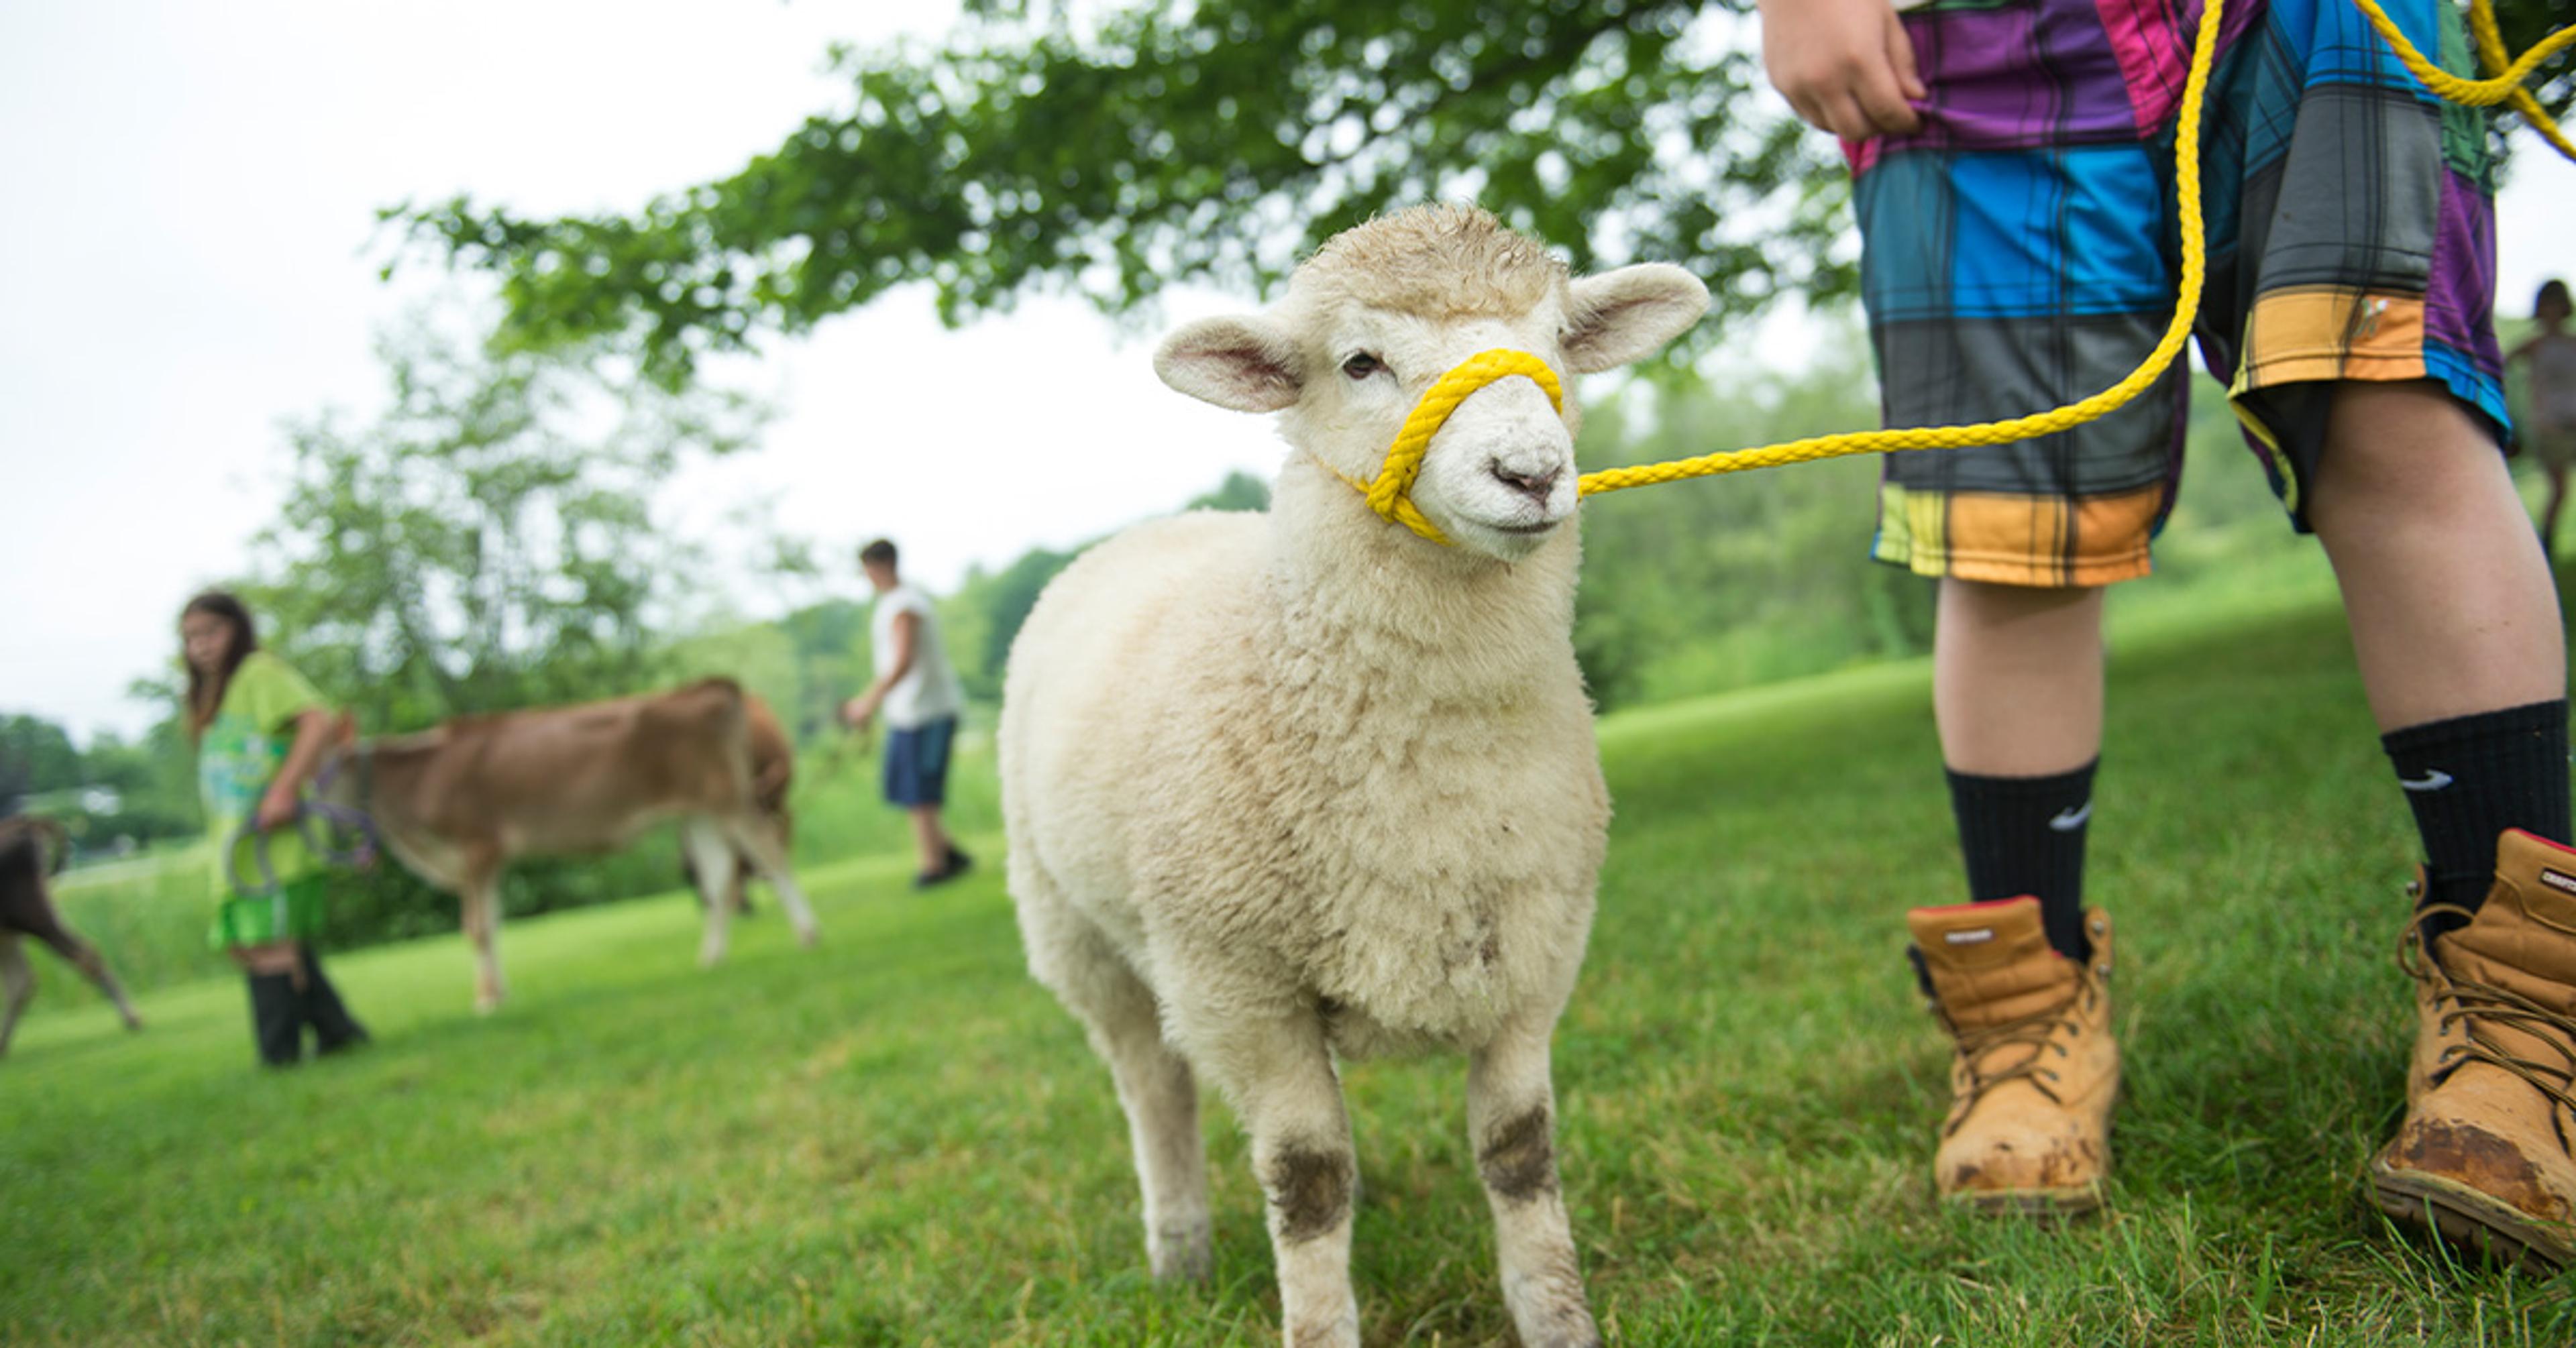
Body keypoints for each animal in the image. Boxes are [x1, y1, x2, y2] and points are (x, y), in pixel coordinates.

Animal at [0, 815, 143, 1057]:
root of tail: (28, 822)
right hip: (12, 930)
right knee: (21, 980)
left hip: (31, 914)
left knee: (84, 955)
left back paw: (131, 1018)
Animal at [315, 678, 818, 1013]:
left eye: (327, 771)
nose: (307, 810)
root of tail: (711, 687)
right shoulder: (485, 860)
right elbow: (490, 925)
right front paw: (499, 993)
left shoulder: (477, 846)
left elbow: (477, 928)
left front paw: (487, 1000)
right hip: (698, 814)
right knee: (718, 879)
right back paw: (711, 958)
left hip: (728, 798)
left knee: (769, 854)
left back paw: (807, 933)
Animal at [998, 204, 1707, 1348]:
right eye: (1360, 362)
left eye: (1555, 342)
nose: (1530, 471)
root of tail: (1156, 525)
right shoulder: (1242, 985)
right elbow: (1309, 1176)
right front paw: (1320, 1323)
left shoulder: (1534, 953)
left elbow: (1520, 1151)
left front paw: (1558, 1317)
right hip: (1081, 935)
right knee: (1155, 1091)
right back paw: (1179, 1256)